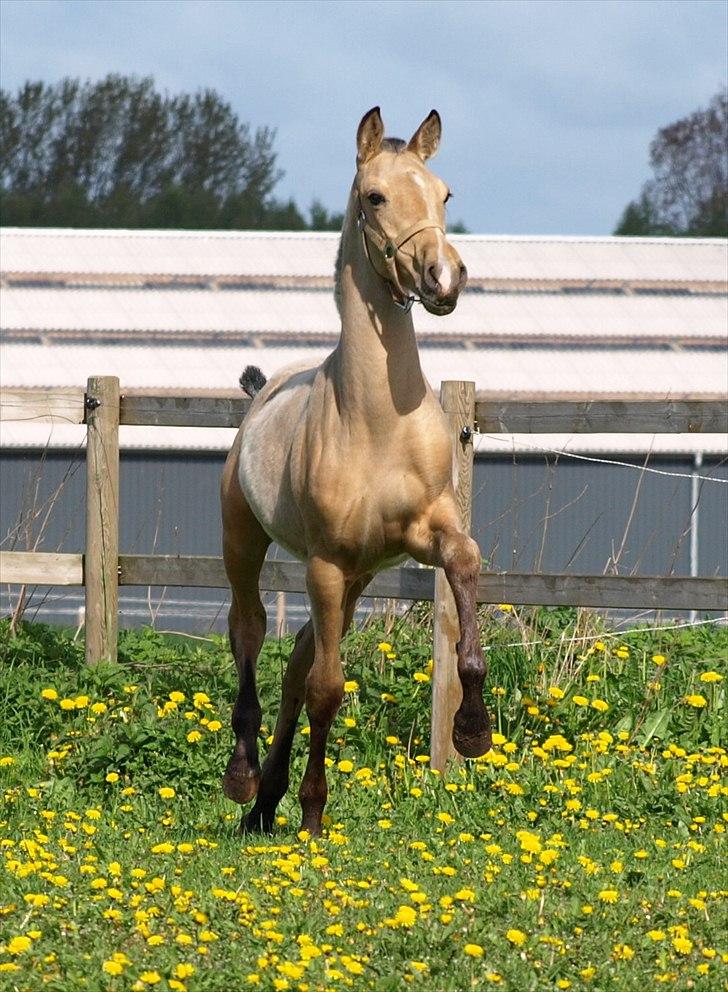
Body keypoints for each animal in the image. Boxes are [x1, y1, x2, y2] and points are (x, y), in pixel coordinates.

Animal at [222, 106, 492, 836]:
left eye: (446, 193)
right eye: (374, 197)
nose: (444, 279)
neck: (375, 420)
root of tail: (262, 391)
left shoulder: (425, 533)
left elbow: (466, 566)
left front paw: (472, 729)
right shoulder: (325, 563)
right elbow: (328, 688)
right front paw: (314, 816)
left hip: (360, 578)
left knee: (295, 656)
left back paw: (264, 805)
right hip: (247, 543)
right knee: (251, 632)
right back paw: (245, 779)